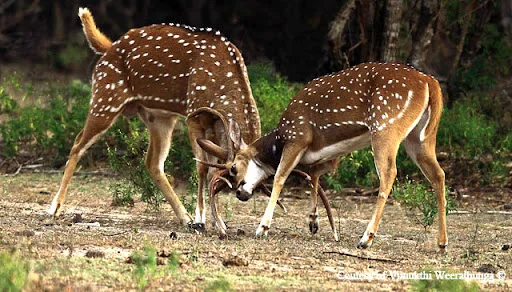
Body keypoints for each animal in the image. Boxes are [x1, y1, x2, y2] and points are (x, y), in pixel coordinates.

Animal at [47, 7, 260, 230]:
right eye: (234, 172)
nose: (243, 194)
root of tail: (109, 47)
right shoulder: (194, 113)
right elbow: (201, 168)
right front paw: (201, 220)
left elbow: (210, 170)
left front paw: (217, 223)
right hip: (106, 98)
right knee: (78, 143)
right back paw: (54, 208)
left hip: (158, 117)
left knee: (153, 162)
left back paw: (184, 217)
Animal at [200, 61, 448, 251]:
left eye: (233, 168)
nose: (240, 193)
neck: (280, 137)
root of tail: (430, 83)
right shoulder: (332, 154)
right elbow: (314, 174)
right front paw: (313, 222)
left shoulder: (298, 137)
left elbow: (280, 176)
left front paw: (263, 227)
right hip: (420, 137)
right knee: (438, 174)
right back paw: (442, 243)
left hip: (386, 125)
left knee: (389, 174)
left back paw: (365, 239)